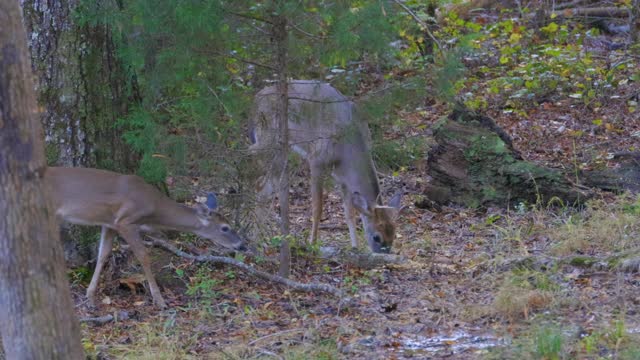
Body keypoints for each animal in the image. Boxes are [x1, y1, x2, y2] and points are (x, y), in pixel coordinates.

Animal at [43, 167, 248, 310]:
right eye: (225, 228)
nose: (242, 245)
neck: (154, 210)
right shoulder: (125, 221)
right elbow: (144, 256)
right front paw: (160, 300)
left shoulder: (110, 223)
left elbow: (103, 254)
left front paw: (90, 298)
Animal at [249, 79, 400, 253]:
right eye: (376, 237)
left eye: (393, 235)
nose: (384, 255)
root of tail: (256, 99)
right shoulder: (316, 160)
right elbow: (317, 207)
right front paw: (312, 244)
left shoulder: (342, 177)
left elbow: (349, 213)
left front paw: (355, 247)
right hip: (268, 139)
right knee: (254, 169)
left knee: (266, 187)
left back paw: (261, 241)